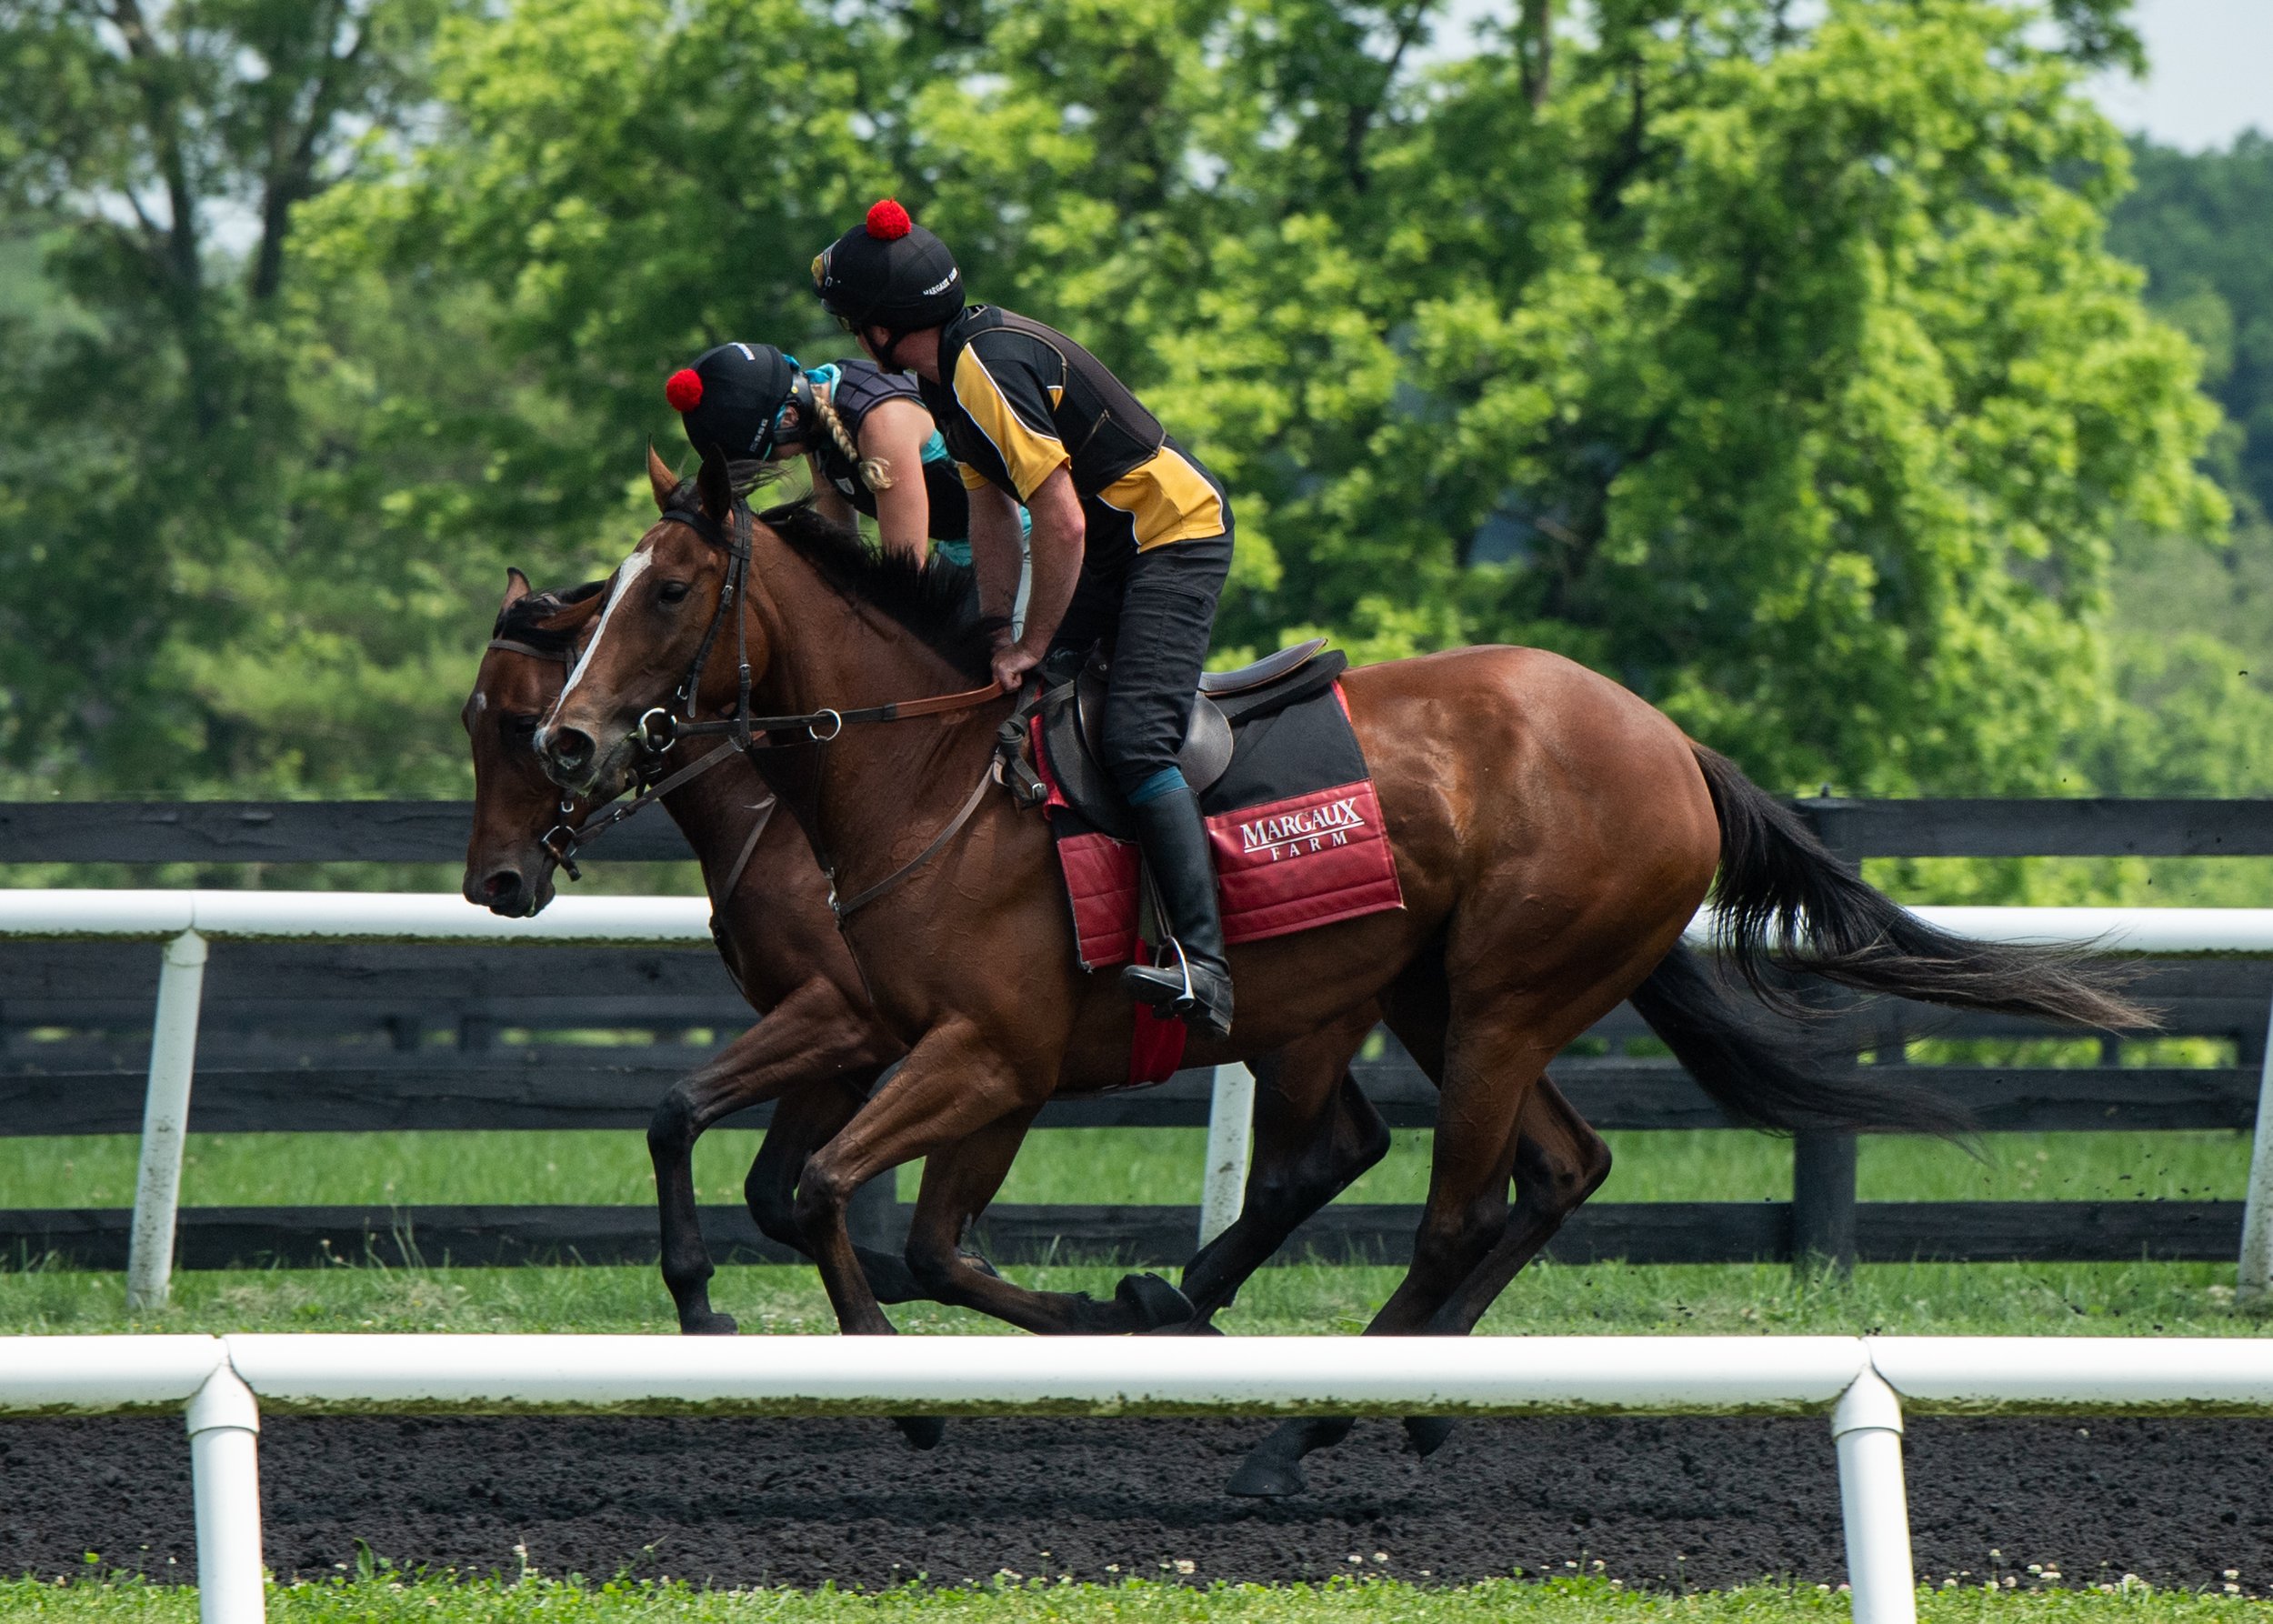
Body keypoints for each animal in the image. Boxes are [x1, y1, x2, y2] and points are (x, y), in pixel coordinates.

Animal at [541, 446, 2137, 1491]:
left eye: (669, 591)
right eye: (600, 594)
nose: (569, 740)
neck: (931, 775)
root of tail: (1670, 741)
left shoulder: (988, 1054)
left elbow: (842, 1198)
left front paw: (952, 1379)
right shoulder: (915, 1037)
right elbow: (869, 1211)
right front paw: (1095, 1319)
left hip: (1501, 994)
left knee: (1459, 1205)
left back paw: (1302, 1419)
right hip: (1441, 994)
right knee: (1555, 1169)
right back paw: (1391, 1393)